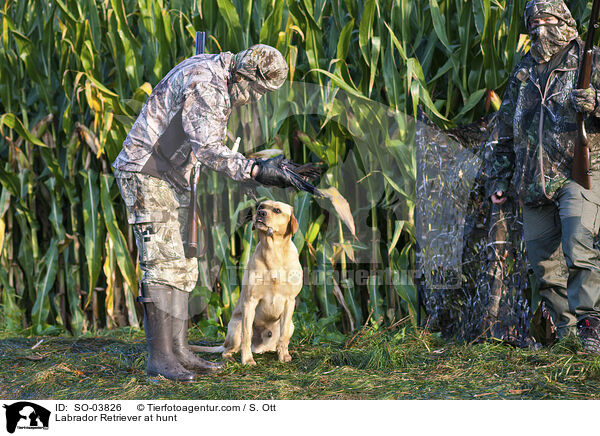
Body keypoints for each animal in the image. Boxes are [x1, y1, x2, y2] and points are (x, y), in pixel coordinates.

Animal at [191, 201, 304, 364]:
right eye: (261, 206)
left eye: (277, 210)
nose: (261, 213)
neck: (273, 252)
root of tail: (259, 348)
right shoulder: (250, 301)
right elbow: (246, 335)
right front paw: (247, 360)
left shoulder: (290, 301)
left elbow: (283, 337)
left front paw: (284, 356)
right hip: (237, 326)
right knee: (228, 349)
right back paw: (232, 357)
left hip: (291, 325)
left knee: (279, 340)